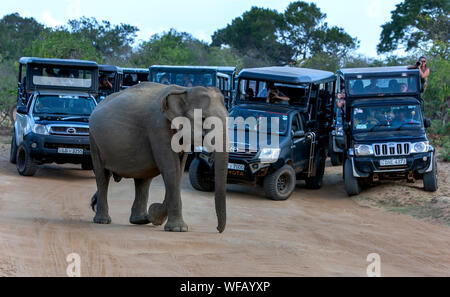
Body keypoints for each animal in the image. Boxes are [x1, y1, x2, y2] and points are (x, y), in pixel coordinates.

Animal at [89, 82, 229, 232]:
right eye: (203, 119)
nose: (218, 229)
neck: (184, 90)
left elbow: (179, 170)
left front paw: (155, 215)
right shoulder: (158, 127)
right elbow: (171, 169)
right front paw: (177, 229)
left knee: (142, 179)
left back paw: (141, 220)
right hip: (94, 140)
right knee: (102, 176)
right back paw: (103, 220)